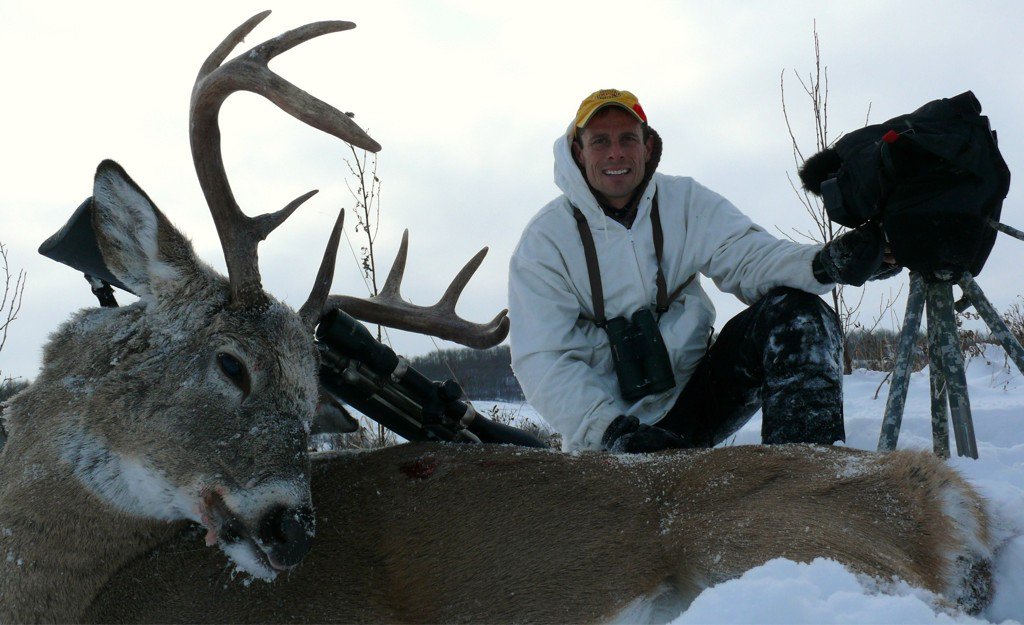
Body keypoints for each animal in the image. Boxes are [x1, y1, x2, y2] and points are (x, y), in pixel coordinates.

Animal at [0, 10, 991, 622]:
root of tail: (950, 494)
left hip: (778, 542)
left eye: (304, 386)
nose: (293, 529)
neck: (80, 596)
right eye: (233, 362)